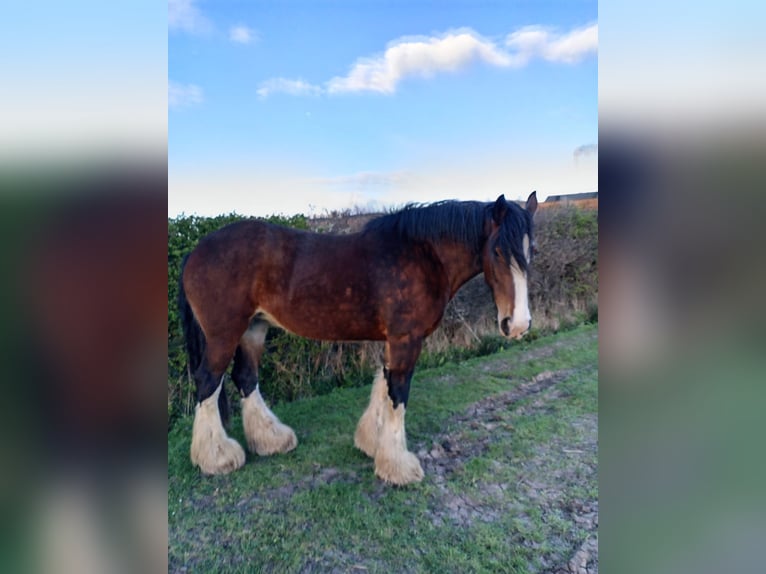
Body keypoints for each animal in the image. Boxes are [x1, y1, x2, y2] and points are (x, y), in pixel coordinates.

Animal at [178, 192, 538, 484]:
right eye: (498, 250)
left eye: (530, 250)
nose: (518, 324)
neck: (423, 256)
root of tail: (196, 251)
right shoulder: (407, 339)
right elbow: (398, 393)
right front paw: (398, 466)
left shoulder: (393, 340)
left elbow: (384, 383)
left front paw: (371, 443)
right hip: (224, 333)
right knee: (208, 381)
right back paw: (217, 457)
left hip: (254, 328)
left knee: (245, 376)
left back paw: (271, 440)